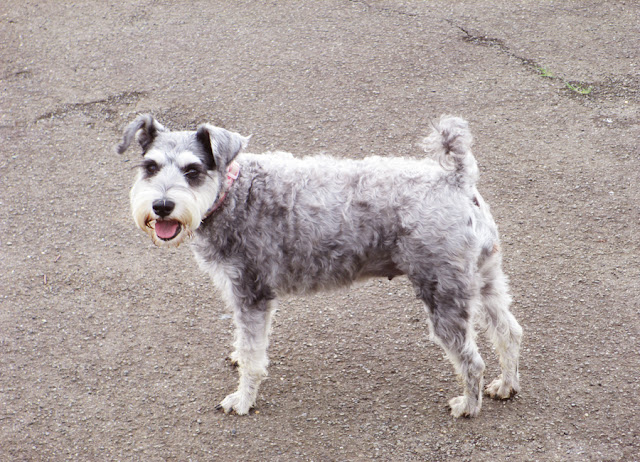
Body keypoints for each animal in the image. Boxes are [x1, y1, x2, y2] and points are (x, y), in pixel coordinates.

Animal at [117, 114, 522, 417]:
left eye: (193, 170)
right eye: (150, 167)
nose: (162, 206)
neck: (234, 192)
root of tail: (457, 179)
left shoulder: (251, 292)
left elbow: (253, 357)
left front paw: (243, 399)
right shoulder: (242, 296)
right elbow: (245, 343)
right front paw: (236, 358)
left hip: (443, 295)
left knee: (471, 360)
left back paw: (468, 405)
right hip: (484, 279)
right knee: (508, 331)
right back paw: (506, 385)